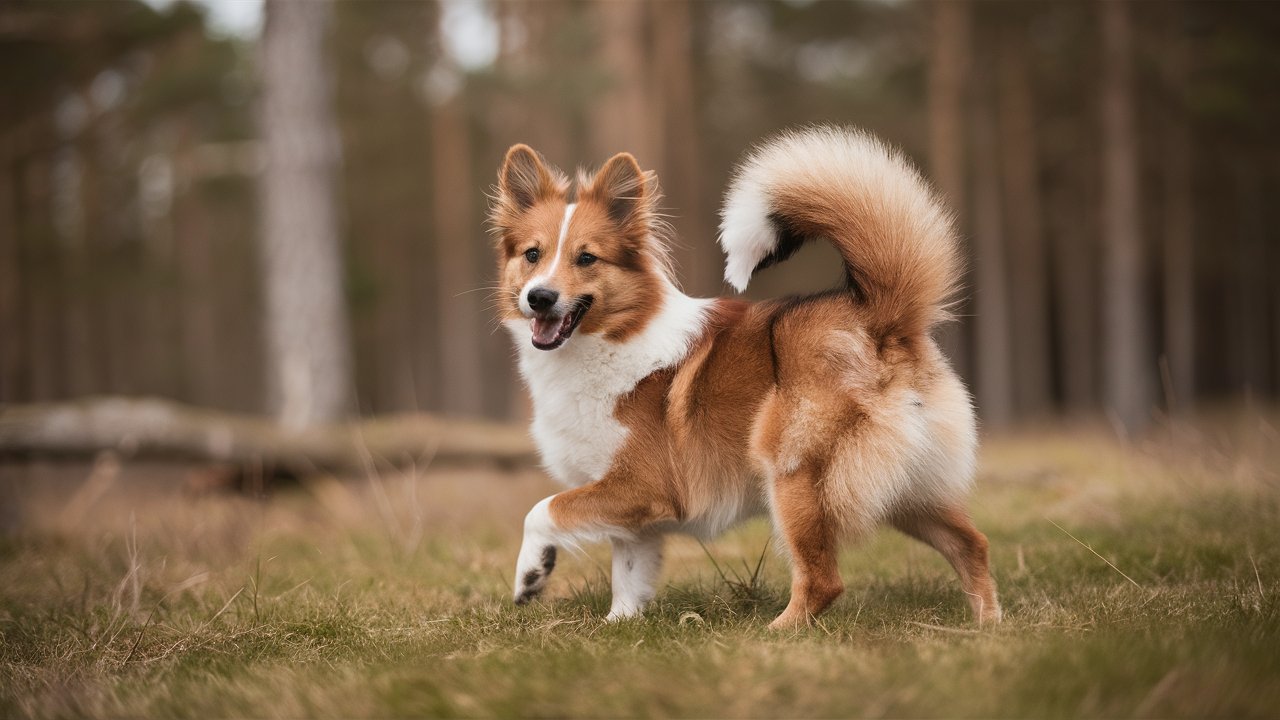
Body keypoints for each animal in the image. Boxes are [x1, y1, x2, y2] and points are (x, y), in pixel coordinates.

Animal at [488, 126, 998, 625]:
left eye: (587, 258)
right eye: (532, 254)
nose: (539, 298)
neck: (613, 338)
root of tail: (881, 316)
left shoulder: (642, 486)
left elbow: (543, 511)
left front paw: (531, 573)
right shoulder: (635, 513)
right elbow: (629, 576)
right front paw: (620, 627)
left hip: (794, 474)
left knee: (823, 581)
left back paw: (776, 632)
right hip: (906, 489)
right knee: (971, 544)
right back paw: (986, 625)